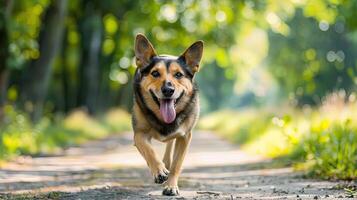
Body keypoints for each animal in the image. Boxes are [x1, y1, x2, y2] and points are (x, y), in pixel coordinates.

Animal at [131, 34, 203, 195]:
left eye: (179, 75)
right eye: (155, 73)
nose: (168, 90)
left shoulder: (185, 136)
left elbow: (177, 164)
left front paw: (171, 186)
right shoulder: (139, 134)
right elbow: (149, 151)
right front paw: (159, 171)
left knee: (170, 145)